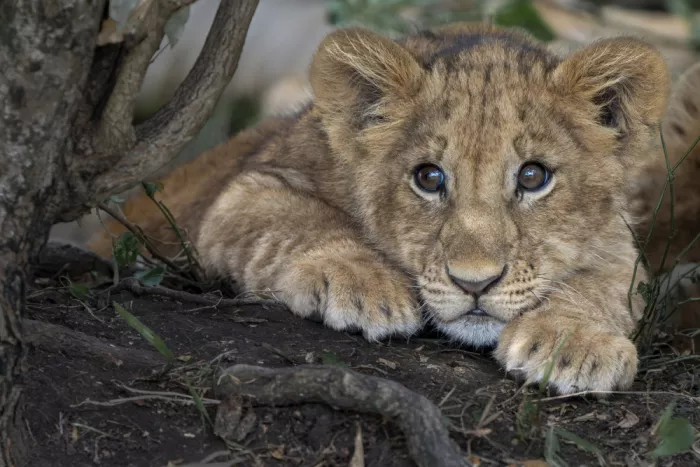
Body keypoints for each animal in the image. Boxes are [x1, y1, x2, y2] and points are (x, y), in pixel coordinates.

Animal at [88, 23, 700, 394]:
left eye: (533, 177)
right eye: (428, 178)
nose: (474, 283)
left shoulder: (620, 241)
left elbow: (605, 284)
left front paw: (573, 342)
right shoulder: (244, 189)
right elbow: (304, 219)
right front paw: (365, 285)